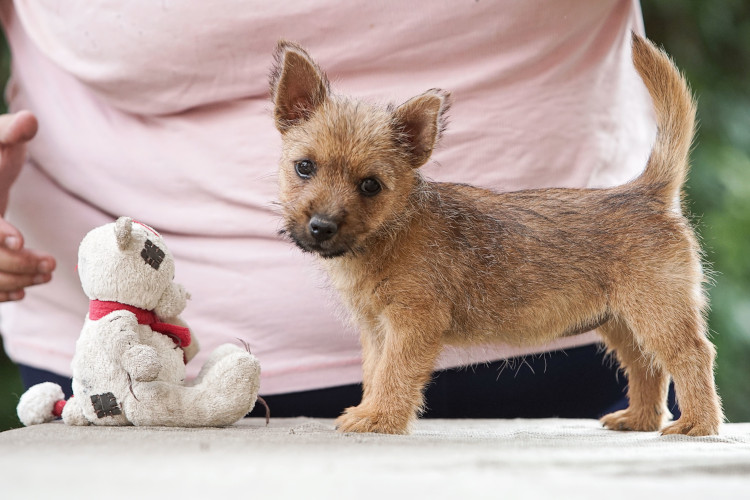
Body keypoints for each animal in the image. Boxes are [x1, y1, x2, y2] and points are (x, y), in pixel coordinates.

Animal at [268, 34, 724, 434]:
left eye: (370, 185)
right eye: (304, 167)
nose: (321, 226)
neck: (390, 233)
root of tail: (645, 191)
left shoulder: (411, 325)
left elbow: (394, 374)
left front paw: (380, 419)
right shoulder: (377, 329)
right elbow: (375, 372)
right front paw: (369, 411)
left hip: (657, 311)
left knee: (692, 355)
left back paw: (698, 424)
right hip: (623, 321)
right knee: (647, 365)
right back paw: (640, 420)